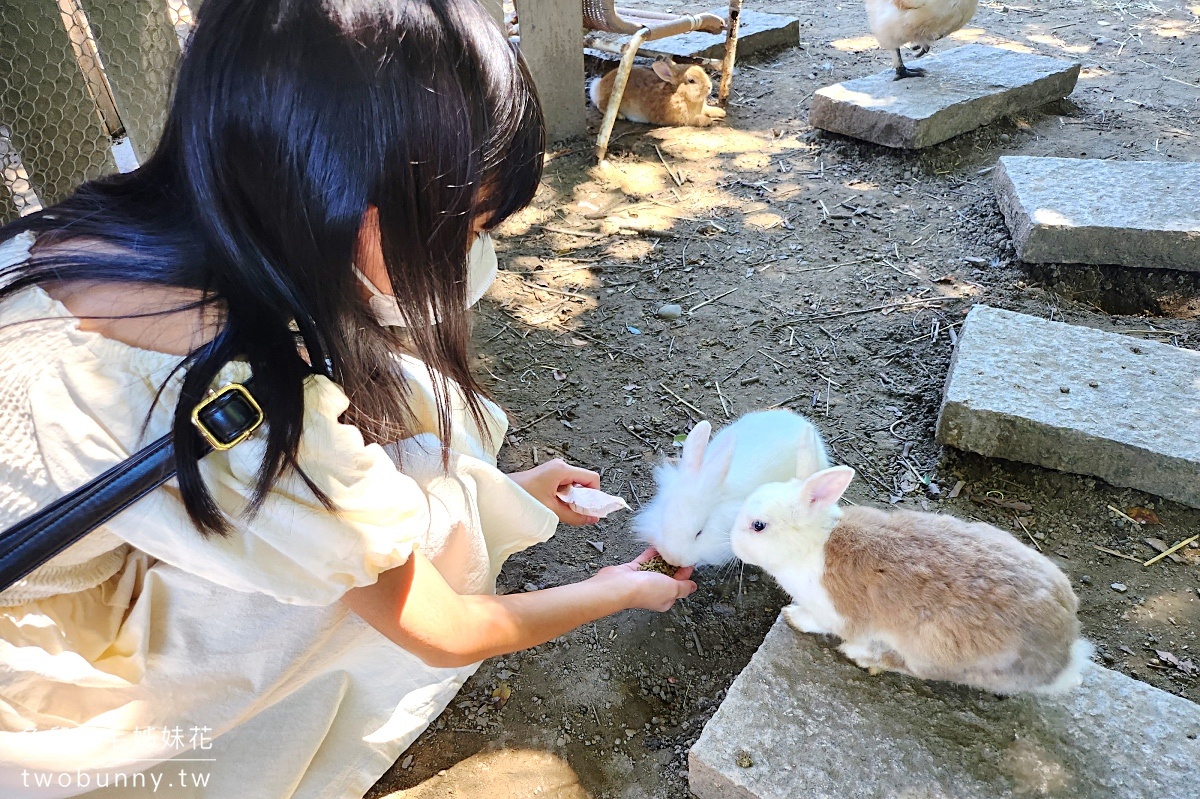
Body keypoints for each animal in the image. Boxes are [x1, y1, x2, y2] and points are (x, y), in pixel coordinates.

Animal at [588, 58, 724, 125]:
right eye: (691, 81)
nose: (709, 87)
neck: (679, 94)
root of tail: (598, 86)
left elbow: (709, 109)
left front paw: (721, 112)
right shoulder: (683, 119)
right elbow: (696, 120)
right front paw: (708, 121)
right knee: (600, 105)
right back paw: (620, 115)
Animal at [724, 463, 1094, 695]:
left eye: (758, 526)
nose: (732, 543)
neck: (811, 543)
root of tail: (1062, 657)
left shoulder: (834, 613)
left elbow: (822, 623)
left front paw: (792, 617)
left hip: (934, 646)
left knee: (914, 668)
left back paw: (864, 657)